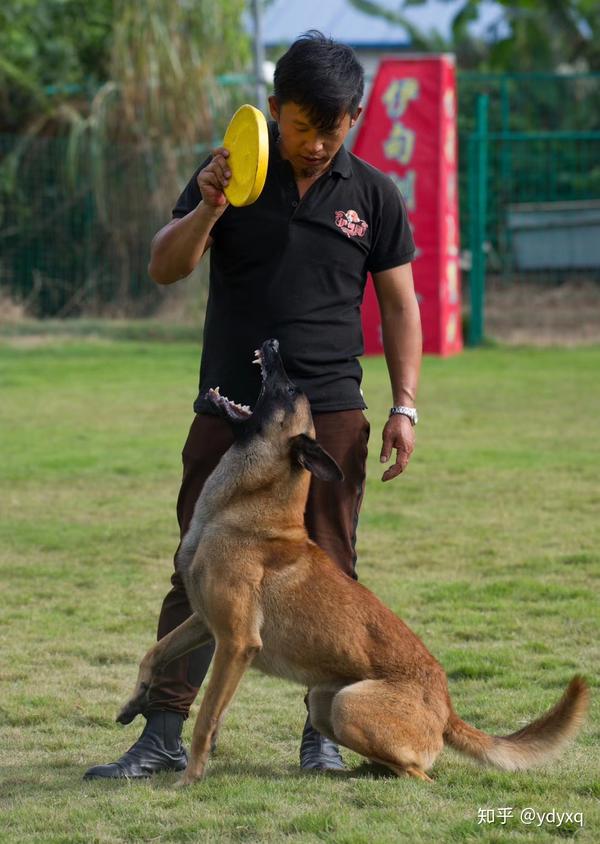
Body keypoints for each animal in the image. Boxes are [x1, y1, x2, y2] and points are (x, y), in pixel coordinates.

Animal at [116, 336, 584, 784]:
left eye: (290, 390)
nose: (273, 343)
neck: (242, 511)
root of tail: (447, 710)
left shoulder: (235, 642)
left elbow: (207, 718)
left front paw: (190, 778)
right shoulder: (203, 621)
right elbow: (155, 652)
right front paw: (134, 701)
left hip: (346, 704)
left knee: (421, 774)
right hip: (326, 700)